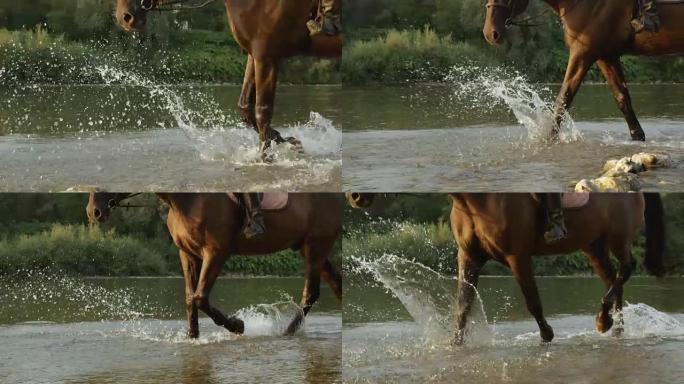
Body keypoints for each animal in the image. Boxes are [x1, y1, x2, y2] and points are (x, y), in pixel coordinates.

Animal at [87, 194, 342, 338]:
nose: (94, 212)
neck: (186, 201)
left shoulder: (215, 253)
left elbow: (200, 298)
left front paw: (237, 325)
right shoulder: (187, 254)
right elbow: (190, 299)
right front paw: (192, 337)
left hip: (316, 245)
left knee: (311, 293)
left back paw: (286, 332)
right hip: (308, 247)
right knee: (335, 283)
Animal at [116, 0, 348, 159]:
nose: (125, 17)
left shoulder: (267, 56)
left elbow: (262, 111)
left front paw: (266, 158)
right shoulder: (255, 54)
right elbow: (245, 108)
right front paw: (287, 141)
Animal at [344, 194, 664, 344]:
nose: (355, 197)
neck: (477, 200)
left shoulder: (517, 257)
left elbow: (533, 303)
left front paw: (547, 336)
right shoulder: (469, 256)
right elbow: (462, 306)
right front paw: (455, 344)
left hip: (618, 239)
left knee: (626, 269)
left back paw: (603, 320)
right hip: (592, 246)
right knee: (613, 280)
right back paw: (614, 326)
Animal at [480, 0, 684, 141]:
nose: (490, 33)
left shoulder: (582, 54)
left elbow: (562, 100)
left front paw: (547, 139)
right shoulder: (605, 57)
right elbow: (622, 98)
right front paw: (638, 137)